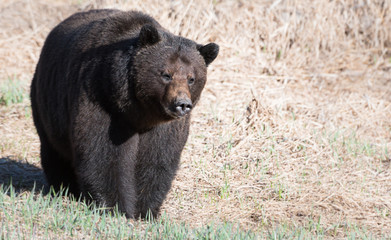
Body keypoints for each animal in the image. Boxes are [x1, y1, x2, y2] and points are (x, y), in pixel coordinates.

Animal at [29, 8, 220, 218]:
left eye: (191, 78)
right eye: (166, 74)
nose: (182, 104)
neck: (138, 112)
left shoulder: (164, 127)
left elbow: (157, 158)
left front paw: (145, 209)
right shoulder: (102, 102)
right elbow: (104, 155)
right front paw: (116, 207)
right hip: (46, 100)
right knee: (54, 150)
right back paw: (65, 188)